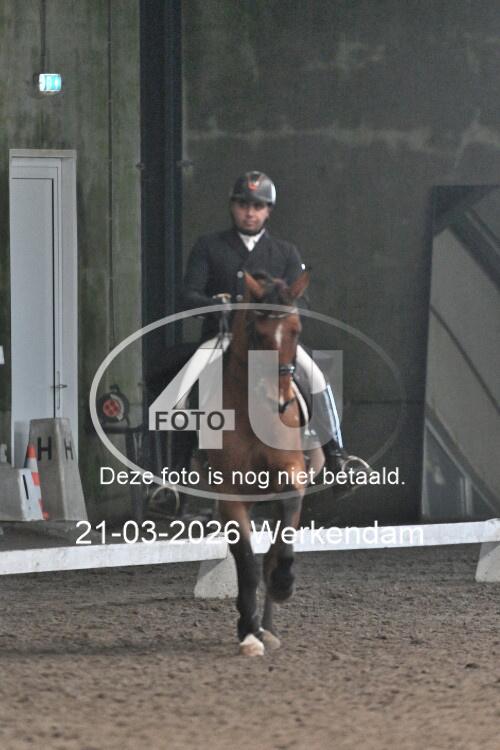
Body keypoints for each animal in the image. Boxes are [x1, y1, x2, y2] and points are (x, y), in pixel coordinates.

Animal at [205, 269, 316, 656]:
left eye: (297, 330)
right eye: (257, 333)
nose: (279, 402)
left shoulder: (292, 475)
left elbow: (278, 551)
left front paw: (283, 584)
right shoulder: (230, 495)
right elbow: (247, 565)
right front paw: (248, 633)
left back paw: (268, 626)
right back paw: (252, 627)